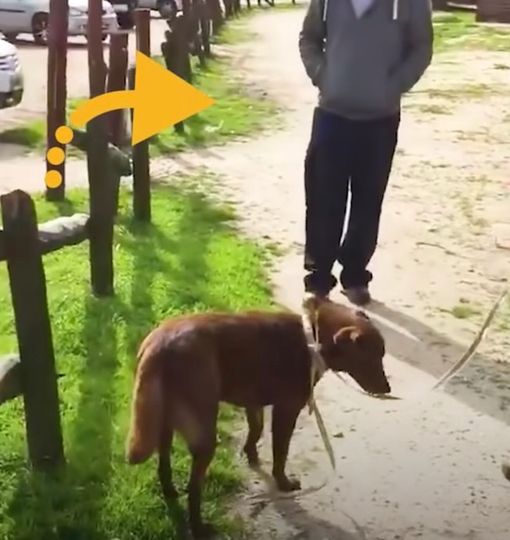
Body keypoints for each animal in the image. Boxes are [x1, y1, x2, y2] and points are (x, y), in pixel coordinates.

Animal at [123, 298, 390, 536]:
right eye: (373, 357)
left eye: (382, 355)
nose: (387, 389)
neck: (312, 339)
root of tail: (158, 345)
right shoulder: (286, 410)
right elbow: (280, 453)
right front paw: (283, 483)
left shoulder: (254, 403)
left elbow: (256, 429)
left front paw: (251, 455)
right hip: (203, 433)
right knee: (194, 486)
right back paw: (199, 528)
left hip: (162, 421)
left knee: (164, 462)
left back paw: (170, 492)